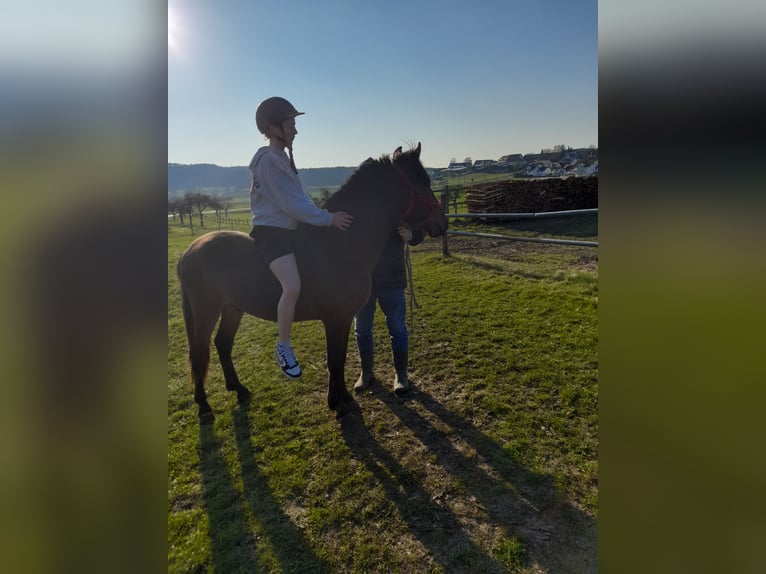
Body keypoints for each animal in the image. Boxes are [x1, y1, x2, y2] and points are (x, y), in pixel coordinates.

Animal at [176, 143, 448, 423]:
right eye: (421, 187)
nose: (442, 223)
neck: (340, 244)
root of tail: (190, 251)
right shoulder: (335, 318)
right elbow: (335, 360)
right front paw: (338, 404)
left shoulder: (344, 318)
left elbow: (340, 357)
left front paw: (344, 398)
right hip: (206, 312)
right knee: (198, 353)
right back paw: (204, 407)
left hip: (232, 309)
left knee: (222, 344)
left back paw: (238, 389)